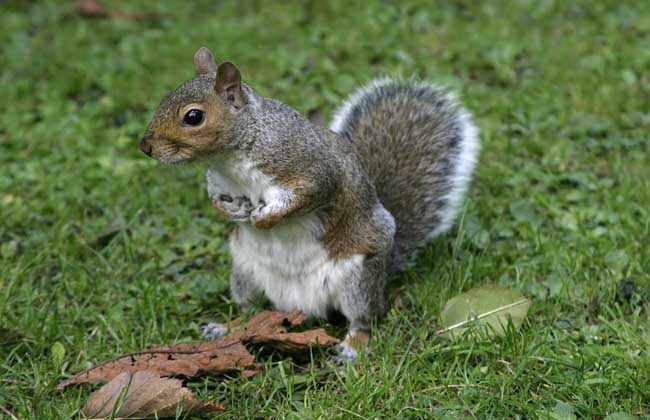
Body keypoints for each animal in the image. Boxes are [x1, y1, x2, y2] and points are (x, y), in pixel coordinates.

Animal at [140, 46, 476, 360]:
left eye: (193, 116)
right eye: (165, 97)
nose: (145, 146)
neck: (233, 156)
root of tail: (299, 304)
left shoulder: (310, 171)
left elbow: (305, 198)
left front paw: (264, 220)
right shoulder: (220, 182)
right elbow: (214, 199)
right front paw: (233, 212)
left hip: (357, 280)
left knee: (363, 320)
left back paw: (352, 348)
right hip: (244, 272)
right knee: (249, 310)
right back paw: (226, 327)